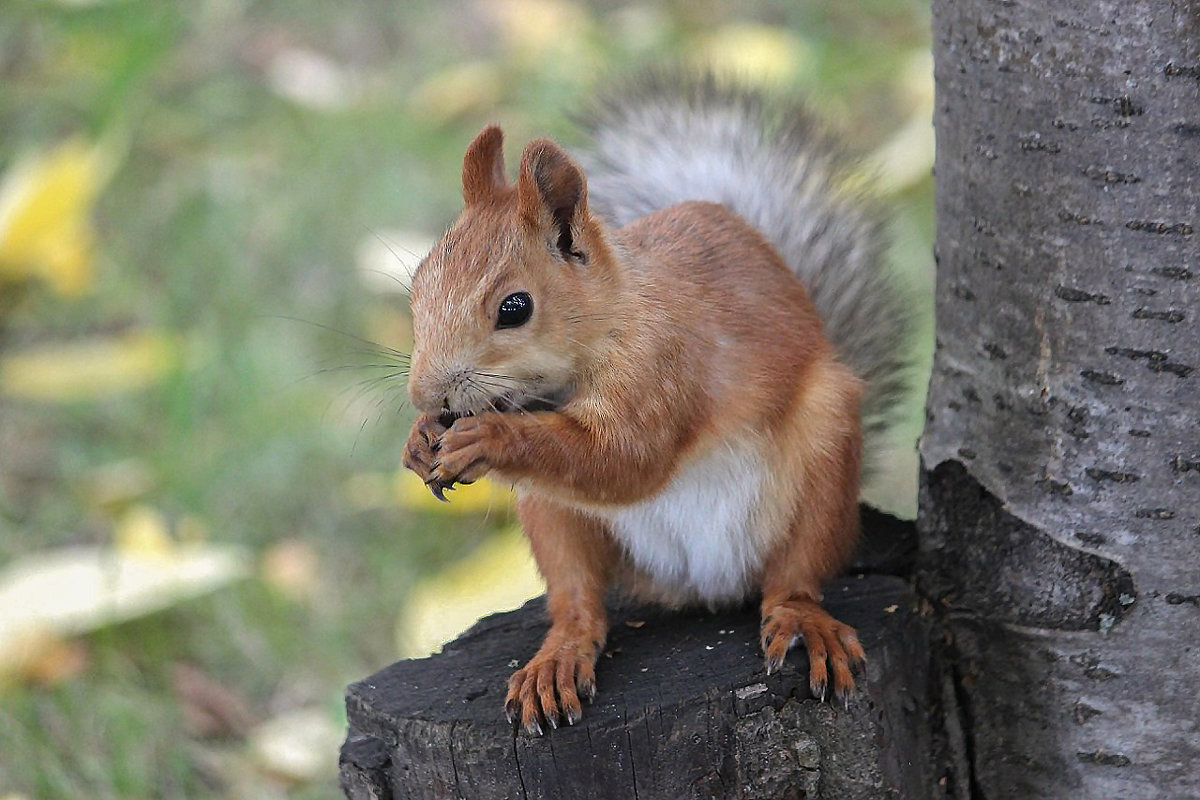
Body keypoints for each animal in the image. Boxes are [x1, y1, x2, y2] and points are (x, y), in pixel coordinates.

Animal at [398, 76, 902, 738]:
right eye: (418, 285)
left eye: (514, 307)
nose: (425, 395)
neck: (611, 318)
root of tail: (701, 586)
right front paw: (418, 439)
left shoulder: (665, 365)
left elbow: (627, 460)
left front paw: (489, 439)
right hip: (554, 515)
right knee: (578, 600)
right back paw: (558, 656)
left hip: (824, 452)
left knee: (797, 572)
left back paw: (802, 619)